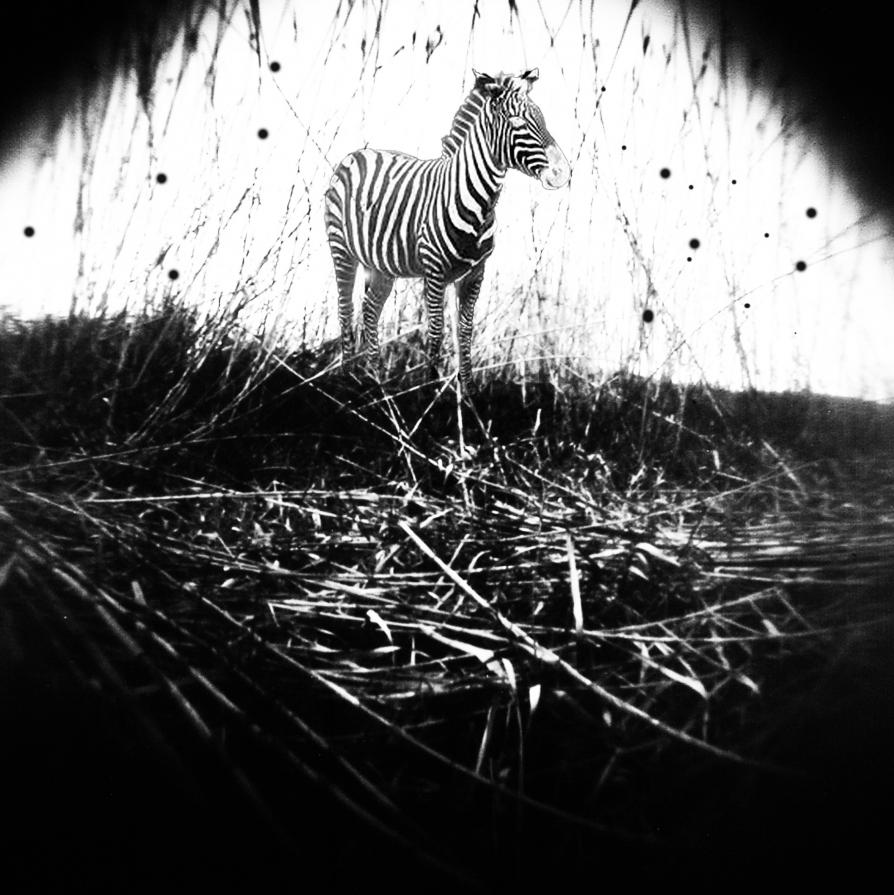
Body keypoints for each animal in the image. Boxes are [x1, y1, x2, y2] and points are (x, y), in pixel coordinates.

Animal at [324, 68, 570, 388]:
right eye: (517, 122)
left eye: (542, 118)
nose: (563, 173)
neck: (478, 203)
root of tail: (359, 153)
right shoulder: (435, 270)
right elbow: (437, 329)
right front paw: (430, 388)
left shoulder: (475, 273)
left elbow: (464, 332)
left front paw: (467, 394)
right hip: (342, 251)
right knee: (345, 309)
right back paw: (346, 380)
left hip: (381, 267)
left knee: (369, 310)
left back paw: (374, 381)